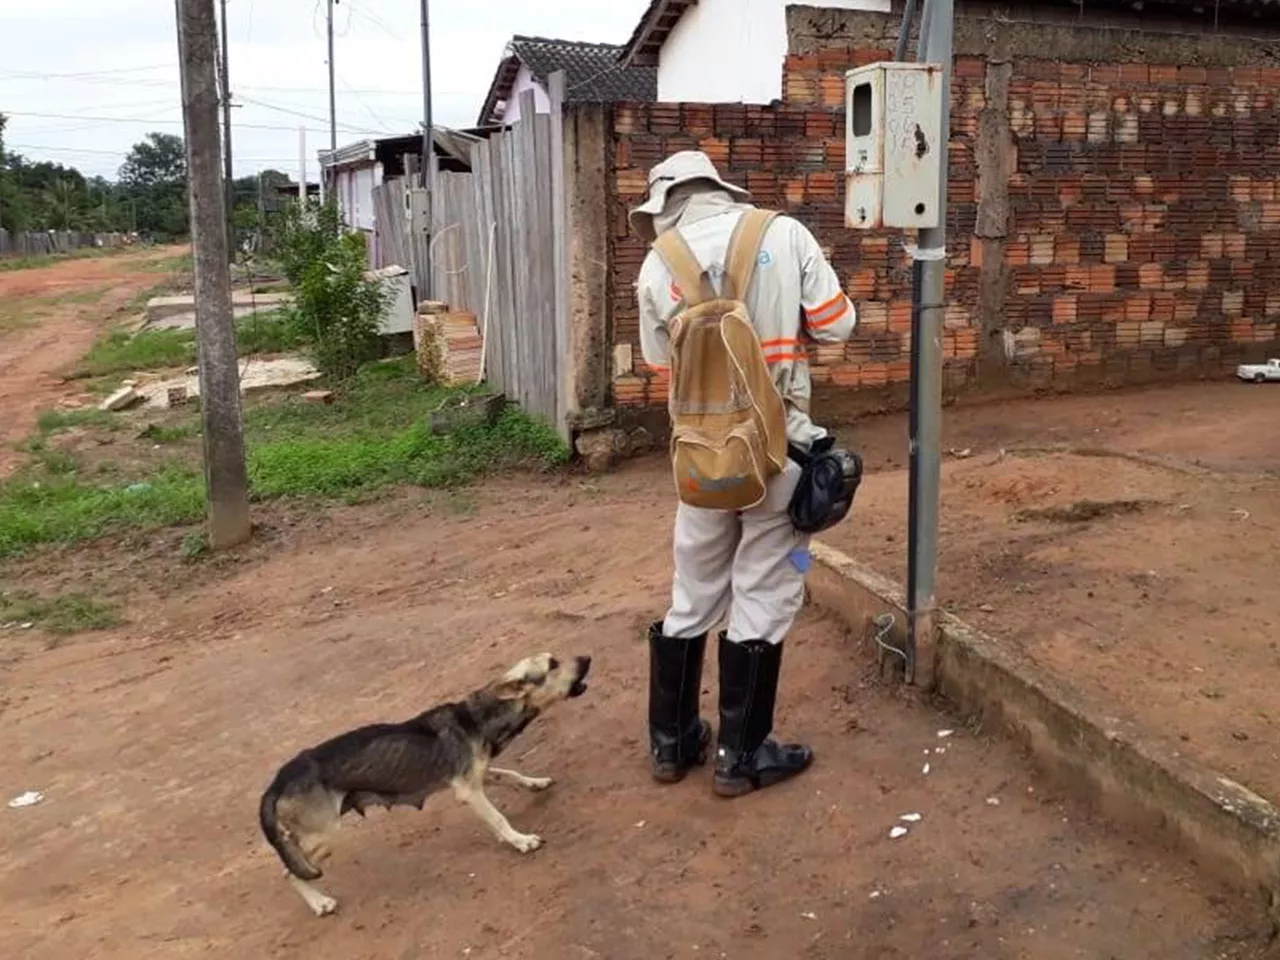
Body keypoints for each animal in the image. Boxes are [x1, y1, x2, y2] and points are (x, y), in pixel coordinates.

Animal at [261, 655, 599, 916]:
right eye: (552, 664)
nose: (586, 657)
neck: (474, 718)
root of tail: (277, 781)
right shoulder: (469, 792)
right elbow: (499, 819)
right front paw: (521, 840)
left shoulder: (476, 774)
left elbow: (511, 774)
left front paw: (535, 783)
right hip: (324, 835)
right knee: (288, 871)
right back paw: (320, 903)